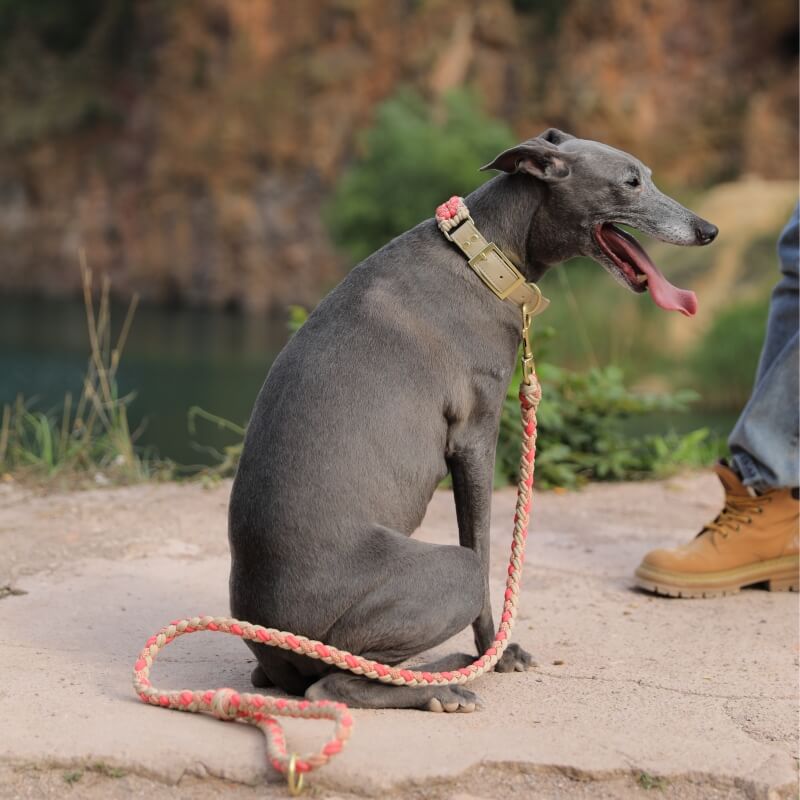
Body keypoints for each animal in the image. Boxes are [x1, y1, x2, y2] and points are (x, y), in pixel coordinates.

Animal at [227, 130, 720, 712]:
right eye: (631, 182)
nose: (708, 230)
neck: (483, 257)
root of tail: (272, 642)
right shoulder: (476, 436)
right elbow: (484, 551)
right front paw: (497, 651)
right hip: (436, 581)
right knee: (335, 681)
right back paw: (443, 684)